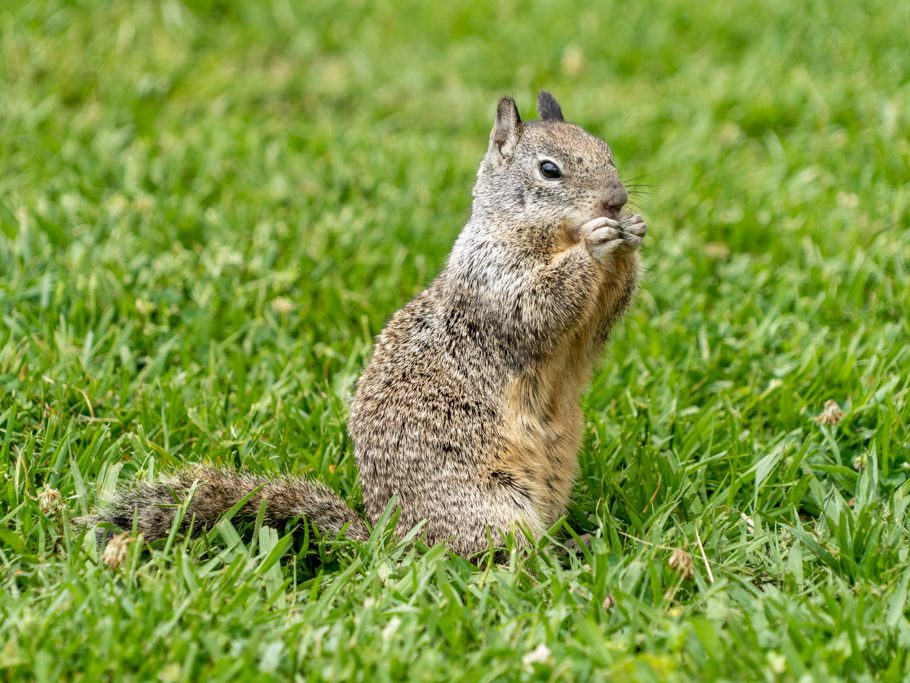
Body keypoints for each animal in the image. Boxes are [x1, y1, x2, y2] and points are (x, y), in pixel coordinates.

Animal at [82, 91, 644, 560]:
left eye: (608, 151)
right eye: (549, 170)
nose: (616, 199)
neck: (543, 235)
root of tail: (389, 539)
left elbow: (598, 323)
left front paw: (633, 232)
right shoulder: (493, 278)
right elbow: (539, 305)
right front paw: (597, 241)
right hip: (488, 505)